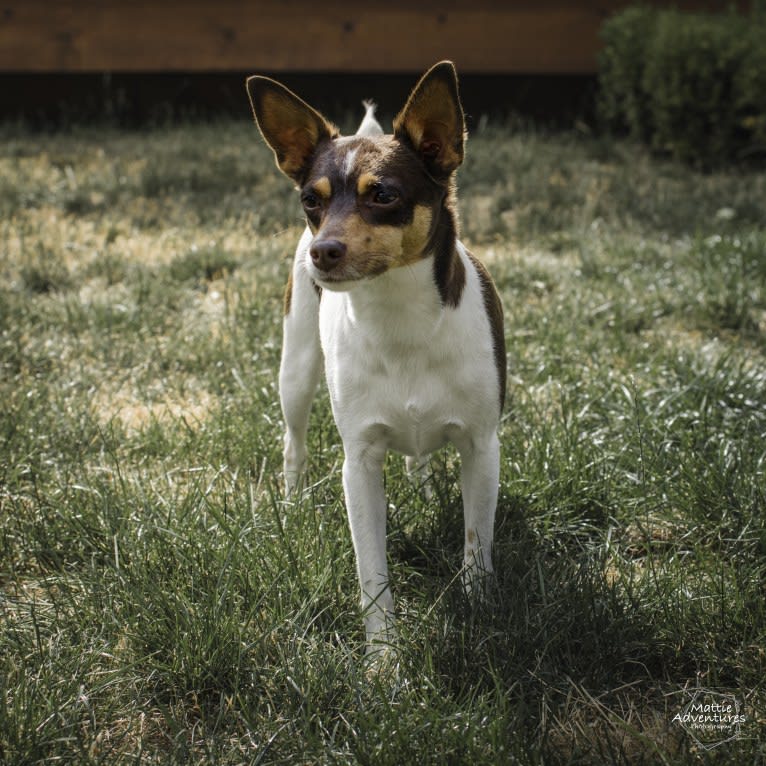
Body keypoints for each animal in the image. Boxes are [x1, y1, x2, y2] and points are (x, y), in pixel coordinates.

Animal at [249, 63, 508, 656]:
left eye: (383, 194)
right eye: (310, 200)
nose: (322, 251)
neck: (400, 318)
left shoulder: (483, 449)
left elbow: (476, 545)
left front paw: (479, 615)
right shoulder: (359, 463)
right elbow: (372, 570)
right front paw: (383, 660)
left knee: (420, 457)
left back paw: (426, 489)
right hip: (296, 370)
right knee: (293, 443)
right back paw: (294, 505)